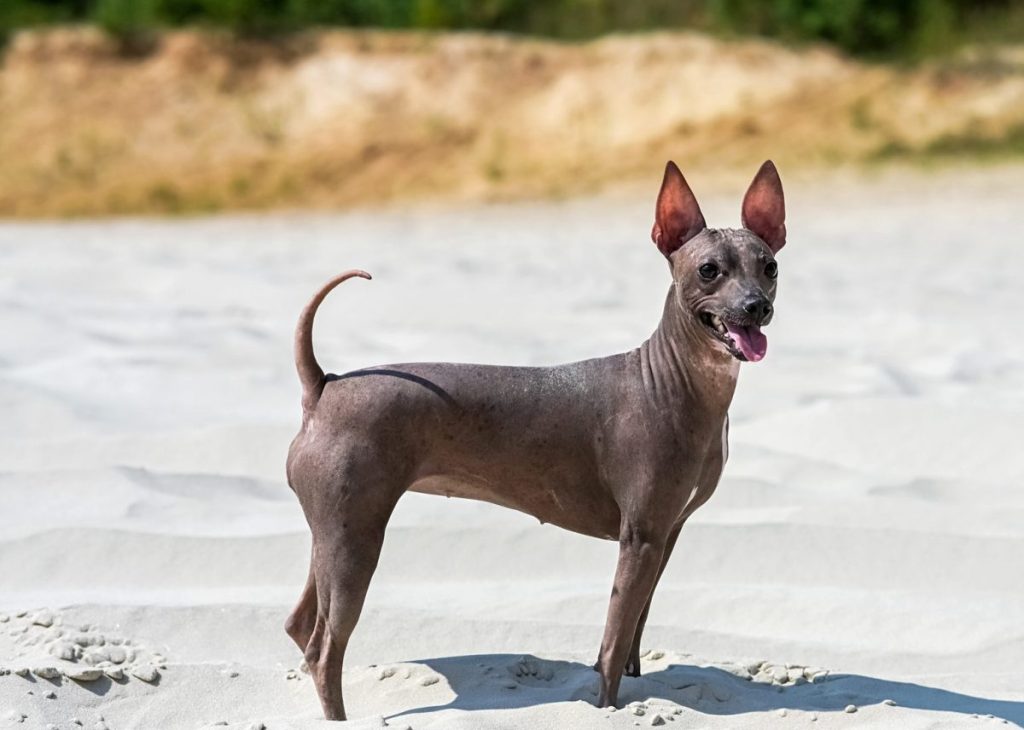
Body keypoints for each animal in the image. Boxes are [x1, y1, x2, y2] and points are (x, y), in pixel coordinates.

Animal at [284, 159, 786, 716]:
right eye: (709, 271)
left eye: (769, 267)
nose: (756, 307)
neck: (675, 378)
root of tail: (323, 384)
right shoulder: (639, 538)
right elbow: (613, 642)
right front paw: (605, 707)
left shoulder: (665, 534)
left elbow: (635, 626)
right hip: (355, 540)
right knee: (324, 648)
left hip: (333, 532)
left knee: (299, 624)